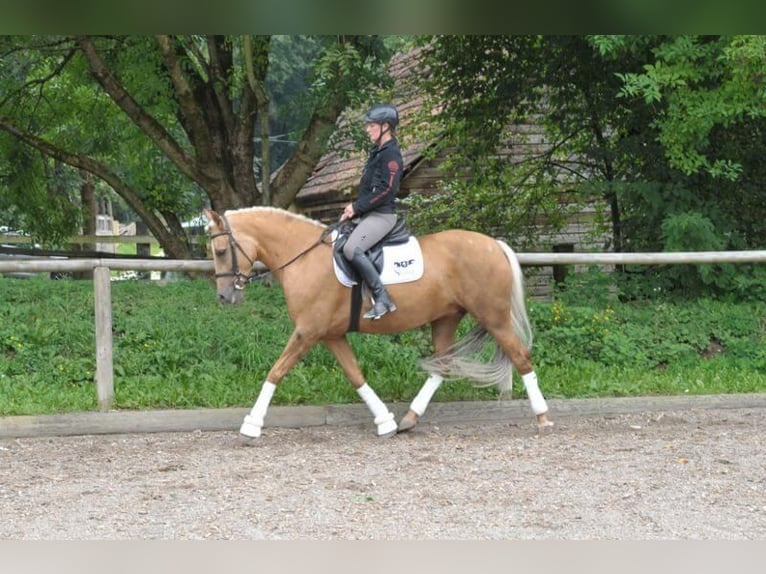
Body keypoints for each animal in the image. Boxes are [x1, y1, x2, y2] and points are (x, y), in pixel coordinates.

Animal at [204, 208, 552, 440]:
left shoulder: (307, 332)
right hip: (446, 318)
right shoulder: (330, 335)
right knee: (442, 366)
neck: (303, 257)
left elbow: (276, 371)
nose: (224, 297)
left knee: (521, 357)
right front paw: (385, 421)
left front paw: (251, 424)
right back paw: (409, 419)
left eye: (220, 250)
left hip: (493, 316)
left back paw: (543, 418)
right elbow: (355, 375)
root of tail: (494, 244)